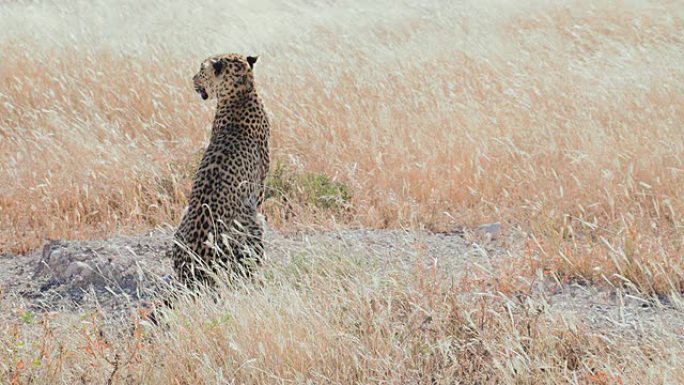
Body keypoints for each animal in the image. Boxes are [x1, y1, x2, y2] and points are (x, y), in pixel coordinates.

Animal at [170, 52, 268, 286]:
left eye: (201, 70)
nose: (193, 78)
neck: (242, 90)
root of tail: (192, 273)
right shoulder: (258, 190)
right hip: (253, 223)